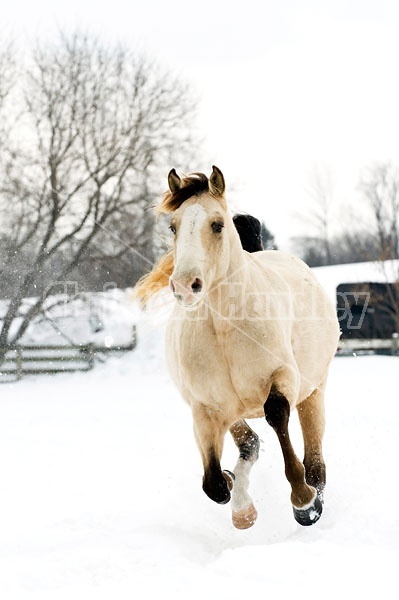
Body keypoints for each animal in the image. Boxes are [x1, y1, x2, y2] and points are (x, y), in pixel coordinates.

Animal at [135, 165, 340, 528]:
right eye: (173, 227)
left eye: (217, 224)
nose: (185, 286)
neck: (224, 332)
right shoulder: (204, 408)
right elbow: (214, 484)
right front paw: (239, 501)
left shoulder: (283, 378)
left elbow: (276, 415)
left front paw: (302, 499)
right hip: (233, 411)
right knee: (250, 444)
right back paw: (243, 506)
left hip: (314, 391)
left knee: (314, 458)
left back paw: (312, 502)